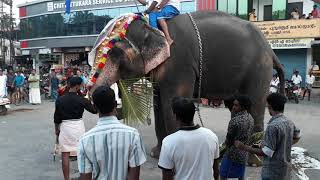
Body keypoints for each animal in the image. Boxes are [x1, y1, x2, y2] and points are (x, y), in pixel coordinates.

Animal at [87, 11, 284, 158]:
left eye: (114, 53)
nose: (117, 105)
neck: (152, 26)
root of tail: (271, 50)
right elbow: (159, 106)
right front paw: (156, 154)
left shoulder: (180, 64)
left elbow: (172, 103)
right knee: (236, 106)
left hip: (258, 70)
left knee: (255, 105)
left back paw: (253, 158)